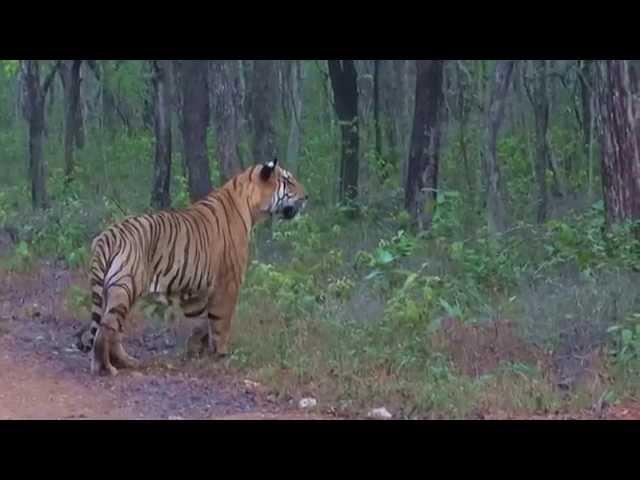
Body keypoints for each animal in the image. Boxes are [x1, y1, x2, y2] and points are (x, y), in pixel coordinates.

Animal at [77, 158, 308, 376]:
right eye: (288, 181)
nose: (306, 197)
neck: (250, 204)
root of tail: (108, 235)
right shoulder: (229, 283)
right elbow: (221, 322)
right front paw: (221, 355)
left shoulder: (196, 291)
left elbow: (201, 322)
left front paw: (195, 351)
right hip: (124, 288)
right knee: (105, 331)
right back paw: (105, 368)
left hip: (116, 291)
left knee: (113, 330)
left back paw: (126, 362)